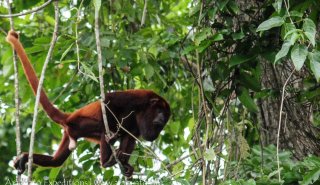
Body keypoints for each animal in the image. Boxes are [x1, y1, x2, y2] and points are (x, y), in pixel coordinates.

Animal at [6, 30, 171, 178]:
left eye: (165, 118)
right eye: (160, 111)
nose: (162, 119)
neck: (144, 108)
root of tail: (69, 116)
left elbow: (131, 137)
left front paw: (124, 161)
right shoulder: (138, 98)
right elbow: (108, 100)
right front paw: (112, 137)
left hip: (70, 134)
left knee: (56, 161)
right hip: (77, 124)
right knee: (103, 128)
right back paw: (106, 159)